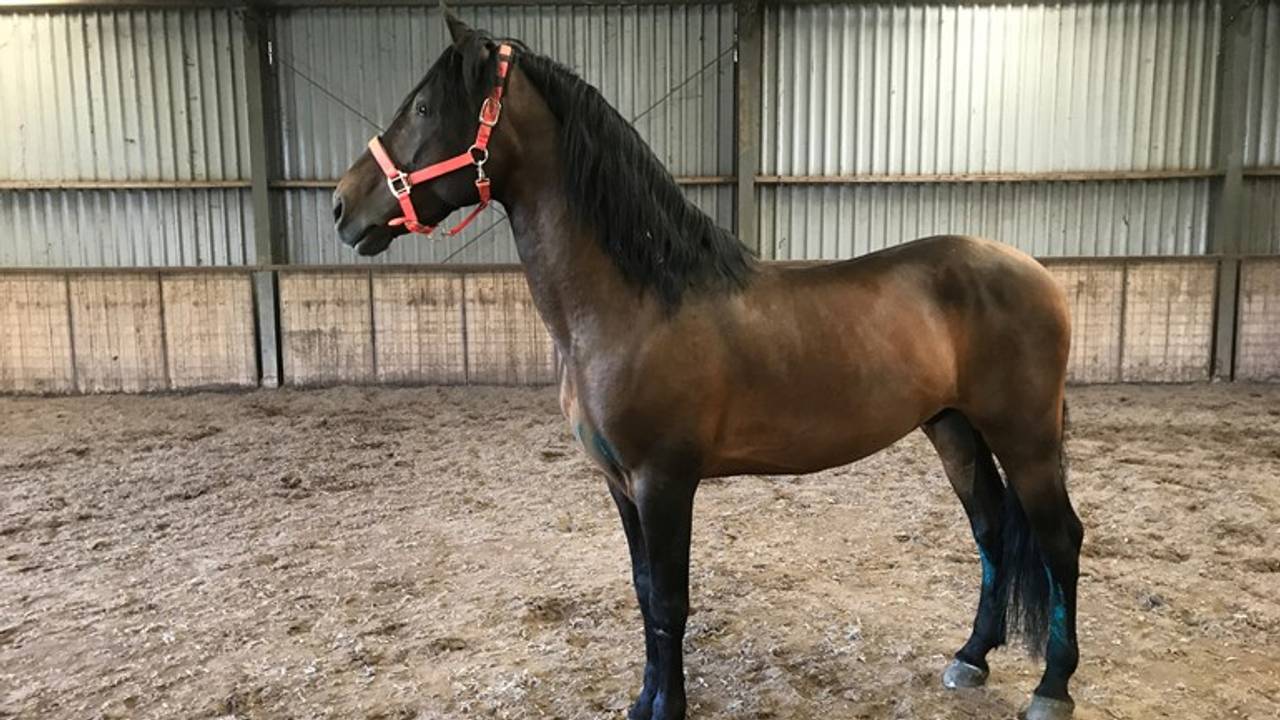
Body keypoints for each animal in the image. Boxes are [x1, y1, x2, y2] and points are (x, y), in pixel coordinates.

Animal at [332, 12, 1084, 720]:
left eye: (423, 107)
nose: (342, 204)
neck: (634, 303)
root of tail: (1036, 274)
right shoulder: (620, 484)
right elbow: (643, 594)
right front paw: (643, 701)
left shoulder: (664, 481)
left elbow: (670, 601)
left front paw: (668, 707)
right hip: (952, 427)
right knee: (991, 531)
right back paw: (972, 658)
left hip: (1024, 436)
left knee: (1059, 539)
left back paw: (1052, 687)